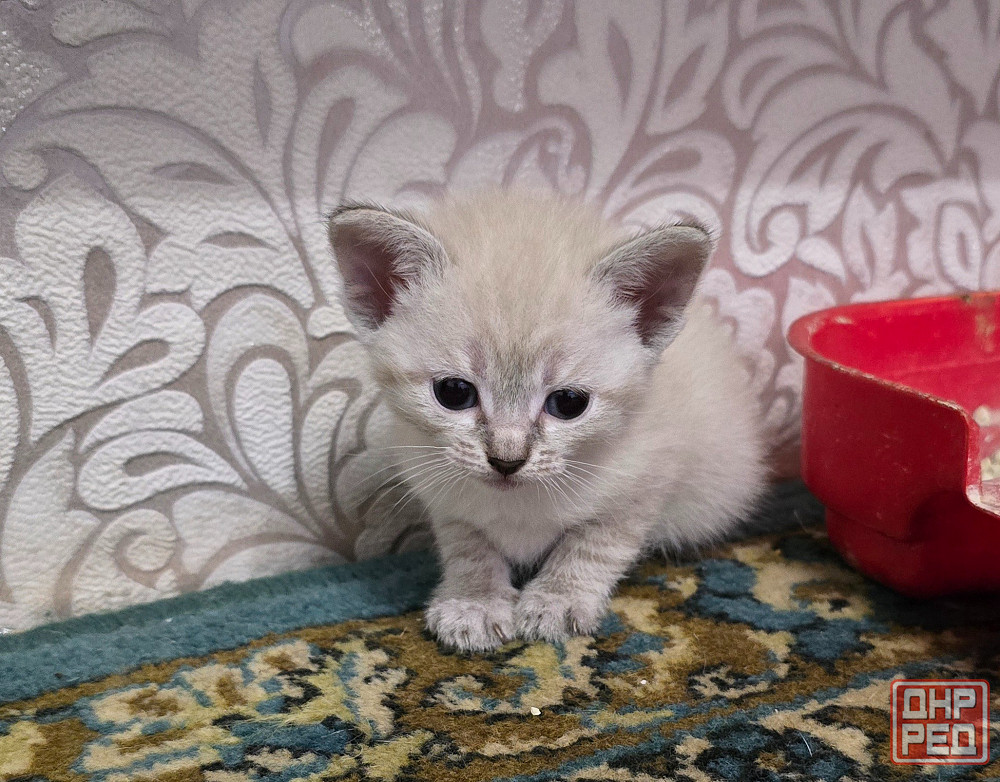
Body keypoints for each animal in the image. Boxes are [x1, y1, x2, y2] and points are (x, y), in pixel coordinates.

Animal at [328, 190, 767, 652]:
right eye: (454, 392)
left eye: (569, 403)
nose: (506, 459)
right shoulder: (442, 491)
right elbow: (468, 546)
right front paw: (475, 602)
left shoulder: (648, 480)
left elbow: (592, 546)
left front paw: (557, 599)